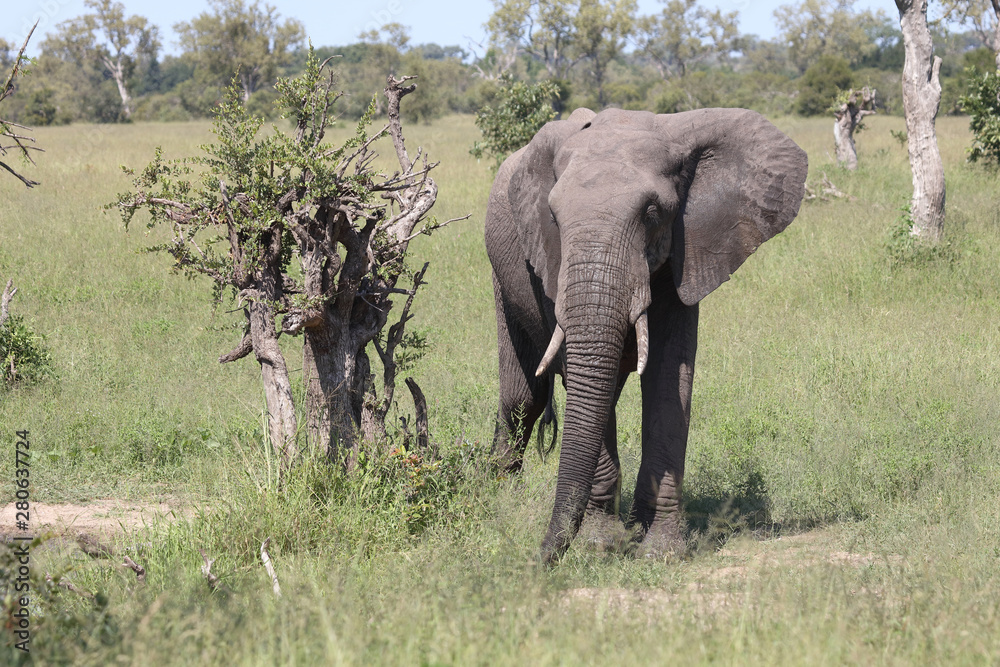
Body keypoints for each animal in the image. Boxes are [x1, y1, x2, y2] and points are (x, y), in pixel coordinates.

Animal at [485, 107, 808, 564]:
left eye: (652, 212)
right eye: (553, 218)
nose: (541, 559)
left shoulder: (688, 250)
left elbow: (669, 375)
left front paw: (659, 549)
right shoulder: (550, 262)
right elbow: (580, 374)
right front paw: (601, 544)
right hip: (503, 277)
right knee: (523, 397)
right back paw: (499, 493)